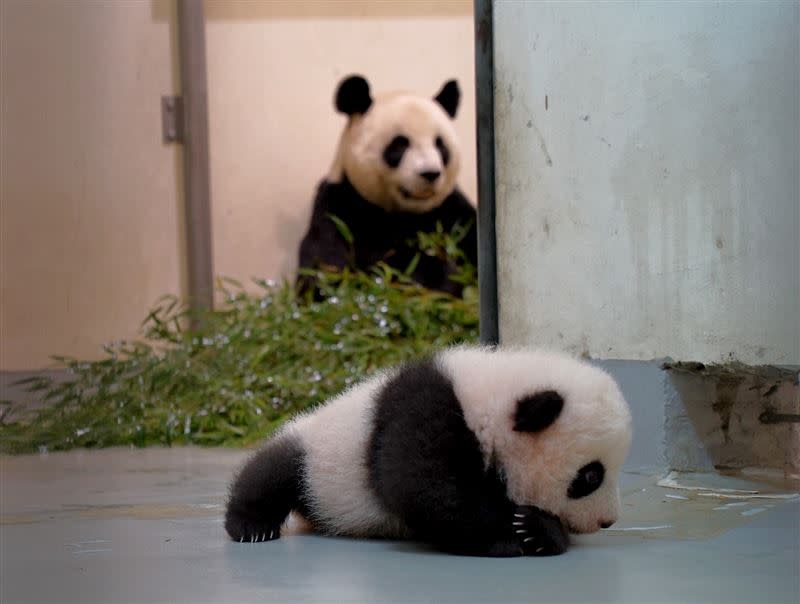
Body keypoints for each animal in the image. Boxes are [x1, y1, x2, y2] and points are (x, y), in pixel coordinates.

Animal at [225, 344, 632, 556]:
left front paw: (537, 528)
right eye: (590, 476)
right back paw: (250, 526)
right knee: (271, 472)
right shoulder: (424, 414)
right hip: (316, 453)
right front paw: (520, 531)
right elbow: (426, 488)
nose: (607, 521)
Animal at [298, 75, 478, 298]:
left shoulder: (451, 210)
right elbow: (331, 263)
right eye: (400, 144)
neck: (408, 213)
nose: (430, 173)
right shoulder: (341, 205)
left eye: (440, 145)